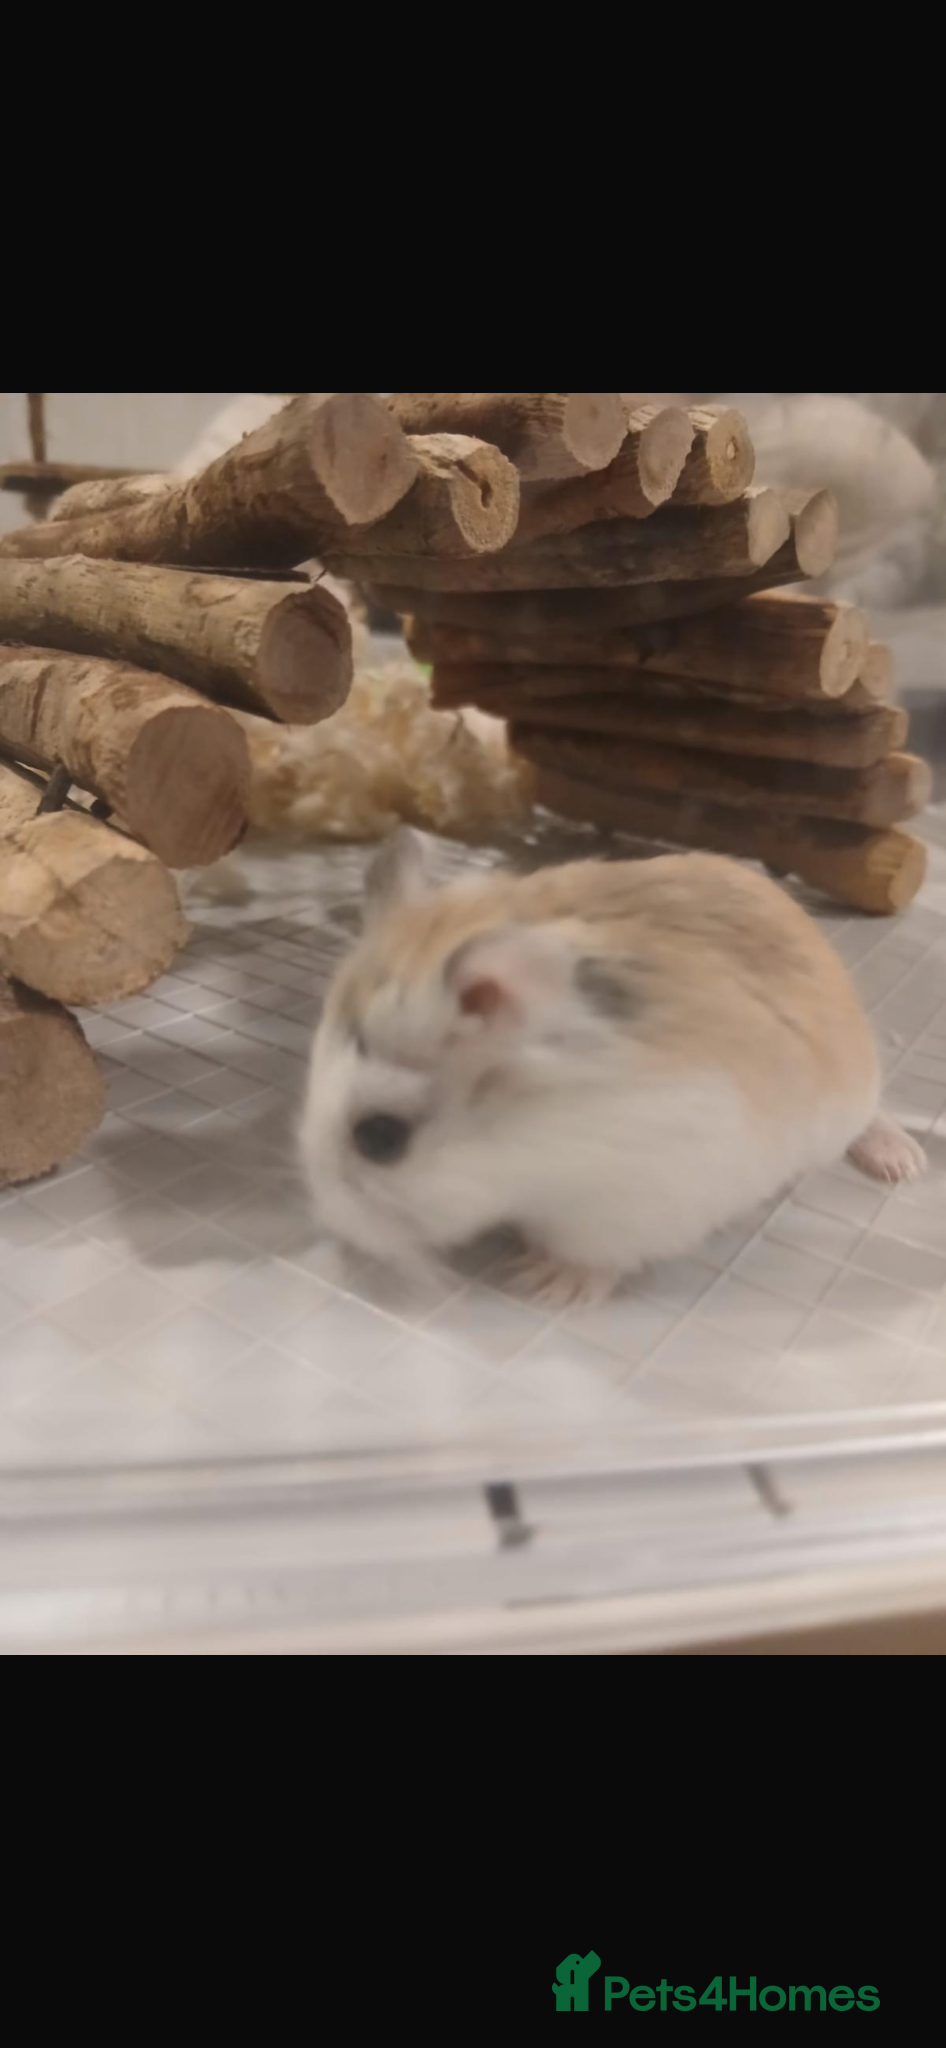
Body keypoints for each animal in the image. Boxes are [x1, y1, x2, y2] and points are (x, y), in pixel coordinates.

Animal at [300, 830, 925, 1306]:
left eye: (380, 1137)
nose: (338, 1232)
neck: (524, 1140)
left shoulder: (633, 1204)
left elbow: (594, 1257)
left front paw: (542, 1284)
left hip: (849, 1099)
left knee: (875, 1116)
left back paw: (904, 1163)